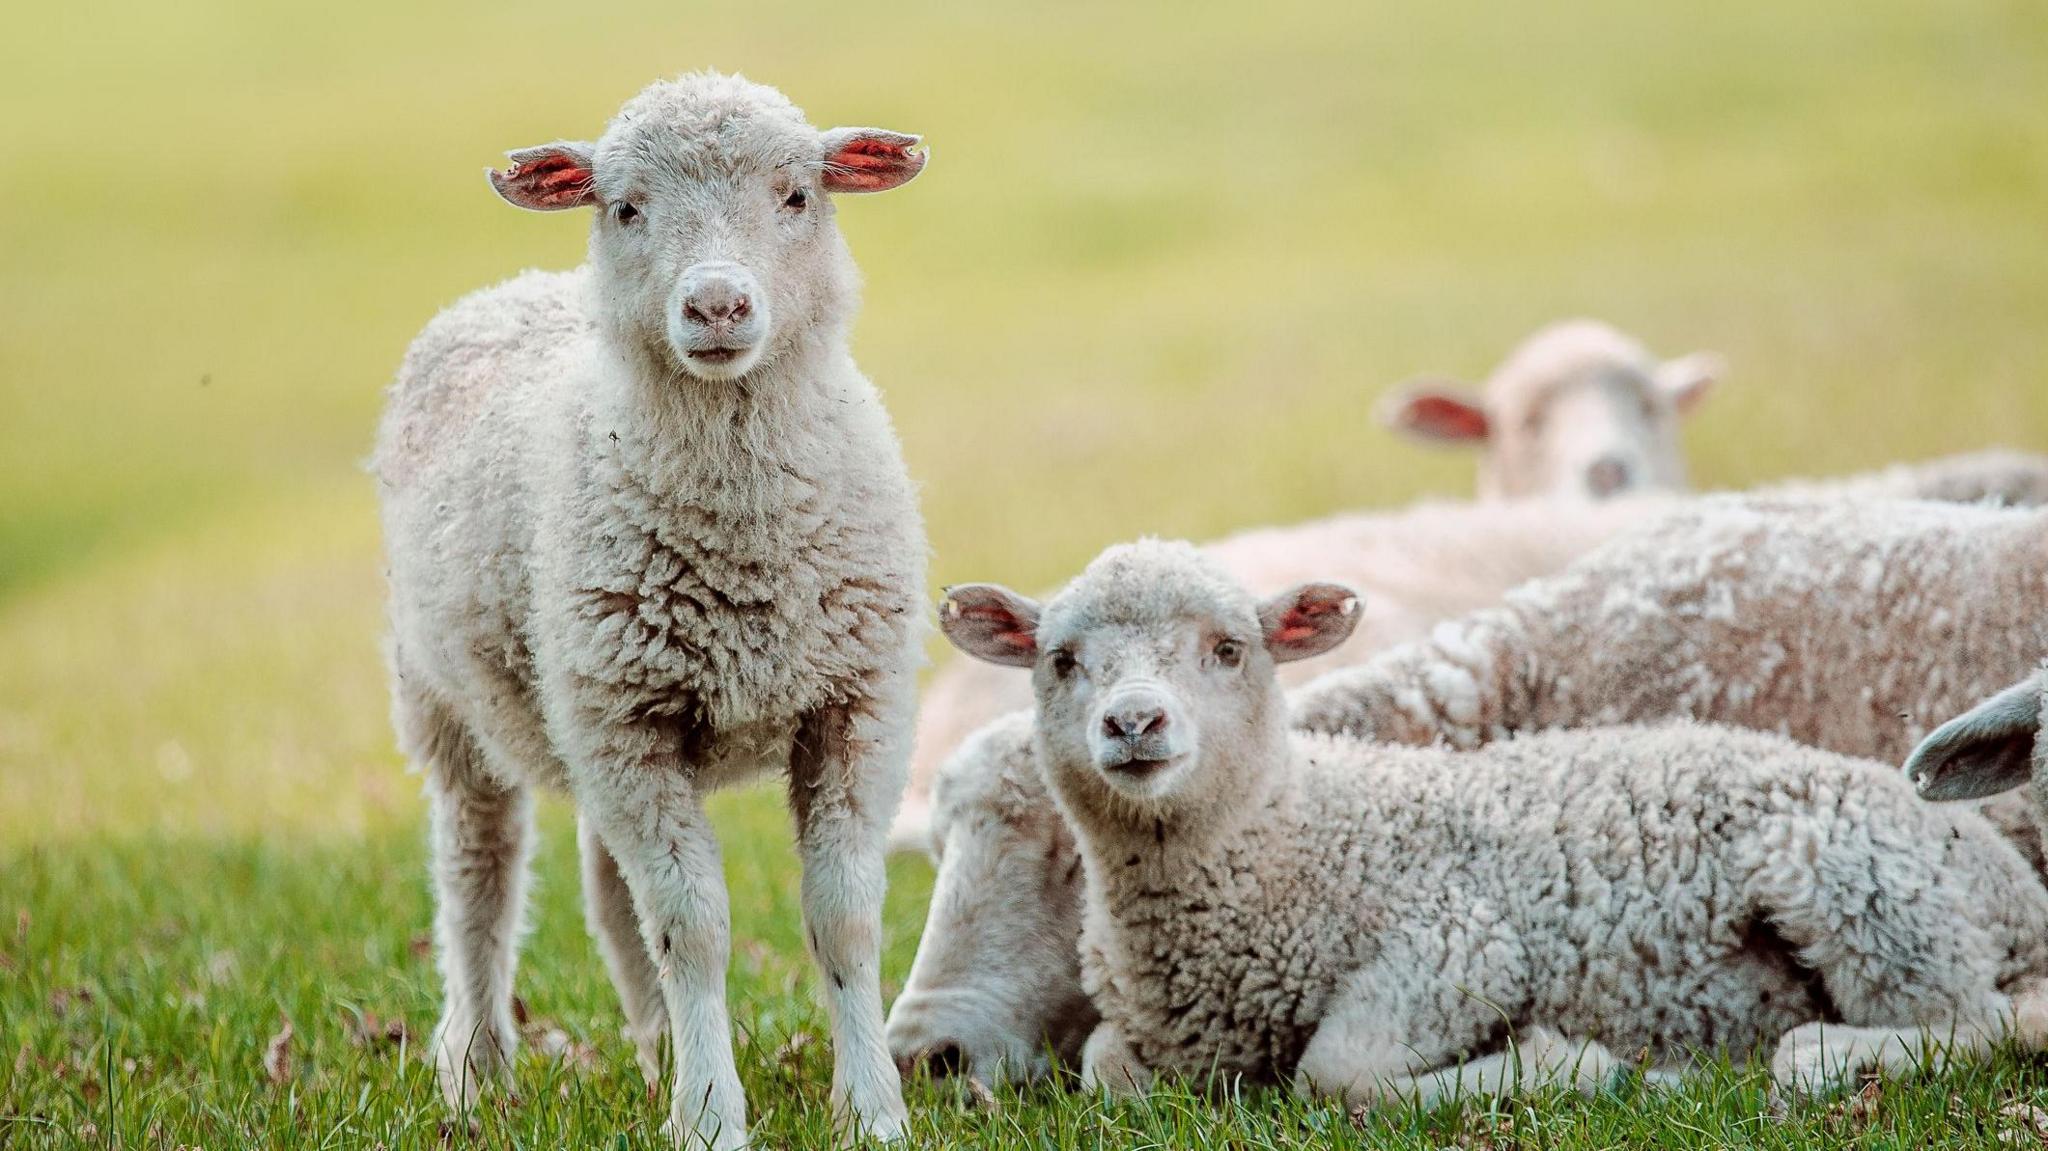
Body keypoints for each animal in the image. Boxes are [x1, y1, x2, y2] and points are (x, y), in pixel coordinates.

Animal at [373, 72, 928, 1148]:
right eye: (624, 207)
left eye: (797, 195)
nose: (716, 302)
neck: (744, 550)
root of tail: (509, 287)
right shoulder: (628, 726)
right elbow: (694, 928)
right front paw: (712, 1115)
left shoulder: (855, 703)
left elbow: (842, 916)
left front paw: (871, 1107)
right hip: (458, 705)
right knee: (478, 880)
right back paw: (477, 1068)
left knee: (606, 893)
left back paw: (655, 1051)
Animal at [886, 491, 2048, 1083]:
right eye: (1057, 661)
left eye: (1055, 859)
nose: (921, 1054)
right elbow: (1106, 1063)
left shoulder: (1450, 941)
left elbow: (1342, 1070)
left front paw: (1565, 1064)